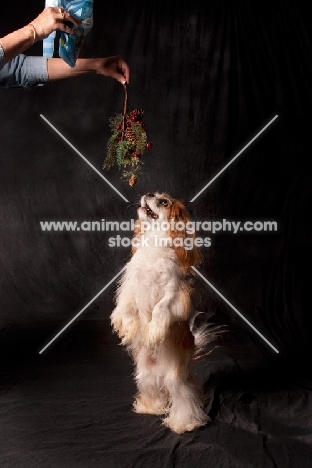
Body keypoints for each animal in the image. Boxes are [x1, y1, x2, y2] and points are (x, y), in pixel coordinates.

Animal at [110, 192, 210, 434]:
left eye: (163, 202)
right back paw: (151, 408)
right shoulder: (131, 285)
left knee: (183, 395)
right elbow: (126, 306)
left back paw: (184, 423)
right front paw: (128, 328)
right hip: (145, 373)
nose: (148, 194)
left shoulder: (175, 294)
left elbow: (160, 308)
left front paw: (153, 332)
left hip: (176, 376)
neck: (153, 242)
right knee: (154, 388)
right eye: (154, 195)